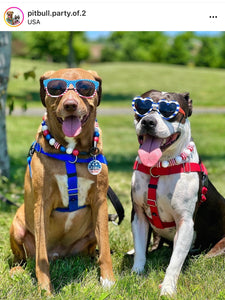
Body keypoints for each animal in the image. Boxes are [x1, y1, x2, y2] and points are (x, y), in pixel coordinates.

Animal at [9, 67, 117, 292]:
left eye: (85, 88)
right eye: (56, 88)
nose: (70, 105)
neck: (71, 153)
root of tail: (60, 254)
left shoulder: (100, 201)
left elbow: (104, 247)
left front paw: (108, 280)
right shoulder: (42, 203)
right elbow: (41, 257)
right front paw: (44, 288)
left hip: (92, 229)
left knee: (94, 248)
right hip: (17, 226)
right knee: (23, 258)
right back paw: (17, 269)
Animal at [131, 89, 225, 296]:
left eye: (169, 110)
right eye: (142, 107)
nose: (148, 121)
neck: (159, 167)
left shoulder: (185, 223)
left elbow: (174, 262)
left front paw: (167, 287)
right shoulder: (139, 215)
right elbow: (140, 249)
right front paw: (135, 274)